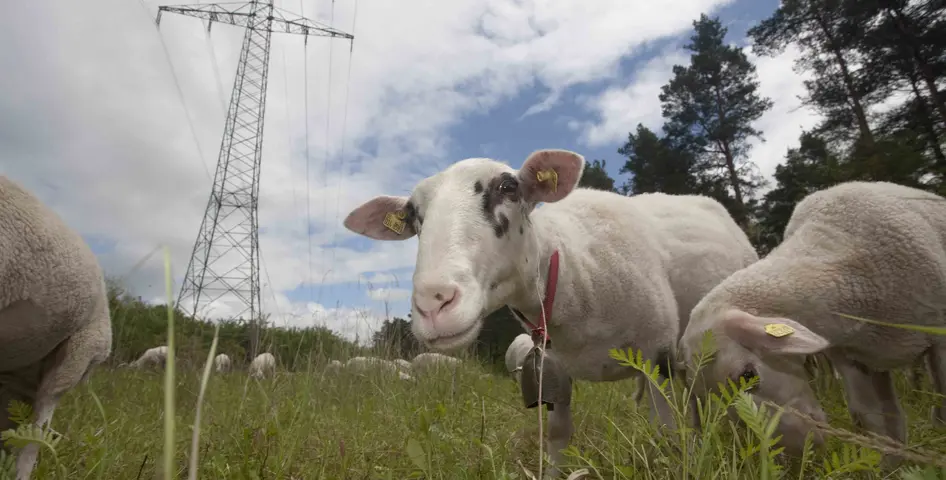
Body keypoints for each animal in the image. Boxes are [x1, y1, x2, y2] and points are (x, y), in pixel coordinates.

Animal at [342, 149, 759, 477]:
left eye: (508, 188)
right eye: (414, 216)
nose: (433, 303)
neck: (574, 266)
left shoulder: (657, 356)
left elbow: (667, 431)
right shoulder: (554, 369)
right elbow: (558, 435)